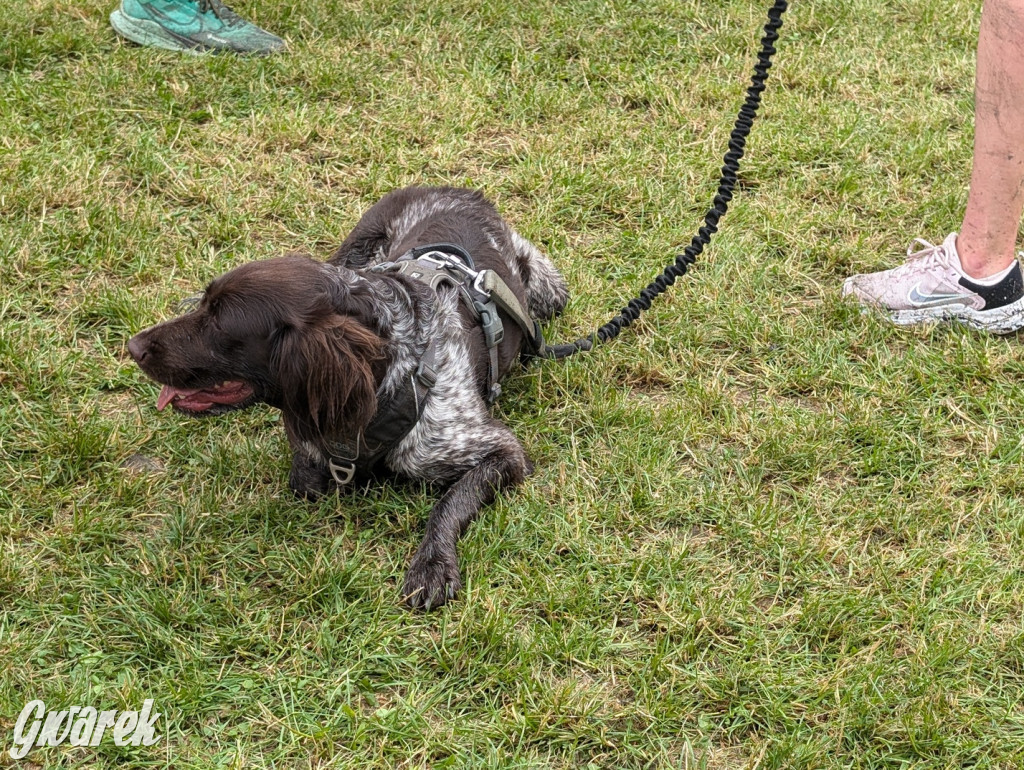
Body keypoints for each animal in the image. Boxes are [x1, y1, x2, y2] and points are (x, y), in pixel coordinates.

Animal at [128, 186, 569, 606]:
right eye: (204, 304)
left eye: (219, 323)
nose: (132, 347)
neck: (389, 375)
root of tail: (461, 192)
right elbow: (306, 478)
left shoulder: (499, 450)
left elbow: (451, 502)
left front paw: (432, 565)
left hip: (550, 292)